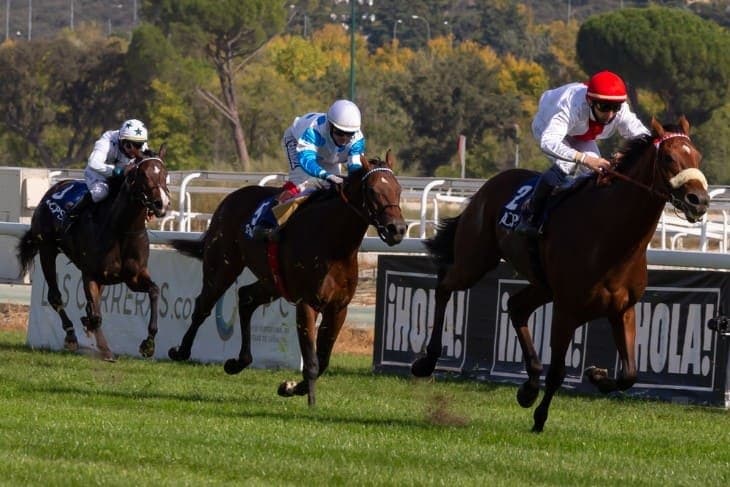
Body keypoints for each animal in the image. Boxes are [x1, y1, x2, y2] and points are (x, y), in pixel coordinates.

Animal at [16, 149, 171, 361]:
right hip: (47, 249)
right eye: (143, 174)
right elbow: (97, 315)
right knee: (55, 296)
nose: (161, 203)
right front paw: (105, 349)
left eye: (165, 173)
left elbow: (155, 291)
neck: (121, 230)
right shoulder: (90, 274)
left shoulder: (133, 276)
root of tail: (55, 188)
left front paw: (148, 344)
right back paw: (71, 335)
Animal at [168, 150, 407, 405]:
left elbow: (323, 361)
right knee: (203, 305)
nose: (398, 229)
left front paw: (291, 387)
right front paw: (310, 403)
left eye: (398, 188)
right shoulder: (307, 303)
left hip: (272, 282)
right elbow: (311, 362)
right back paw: (180, 351)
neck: (335, 244)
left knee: (246, 297)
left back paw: (238, 362)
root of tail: (230, 198)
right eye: (372, 190)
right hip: (222, 266)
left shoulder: (338, 308)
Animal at [411, 116, 709, 432]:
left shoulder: (623, 310)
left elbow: (630, 374)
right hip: (476, 259)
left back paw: (529, 386)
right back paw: (427, 362)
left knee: (516, 306)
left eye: (697, 156)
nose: (699, 200)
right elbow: (558, 371)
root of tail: (488, 186)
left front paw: (596, 376)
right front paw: (540, 419)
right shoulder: (567, 310)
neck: (610, 237)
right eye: (668, 158)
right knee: (445, 284)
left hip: (541, 284)